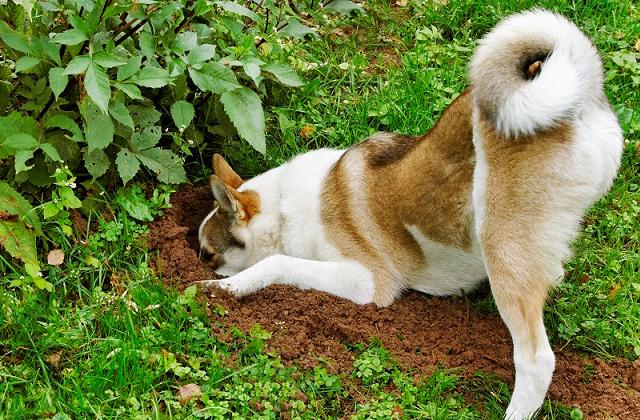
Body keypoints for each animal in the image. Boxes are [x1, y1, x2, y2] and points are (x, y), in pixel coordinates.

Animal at [198, 10, 624, 420]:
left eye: (207, 254)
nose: (201, 265)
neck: (284, 209)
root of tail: (579, 95)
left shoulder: (368, 281)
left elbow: (277, 263)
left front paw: (225, 289)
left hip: (502, 245)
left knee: (537, 359)